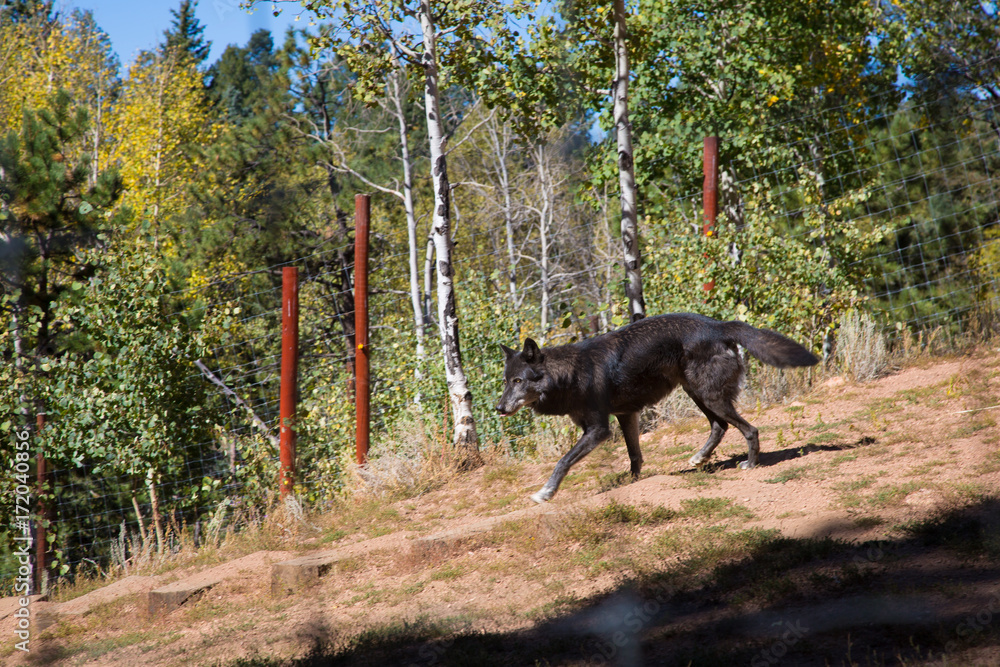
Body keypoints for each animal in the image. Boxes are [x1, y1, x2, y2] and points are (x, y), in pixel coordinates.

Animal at [496, 313, 819, 503]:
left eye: (518, 380)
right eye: (505, 381)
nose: (498, 408)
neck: (570, 375)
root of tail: (717, 324)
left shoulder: (598, 429)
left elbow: (562, 461)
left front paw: (545, 492)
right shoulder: (626, 415)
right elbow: (635, 456)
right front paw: (632, 482)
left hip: (709, 397)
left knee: (749, 429)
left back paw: (750, 464)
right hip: (697, 394)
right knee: (720, 425)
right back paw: (700, 458)